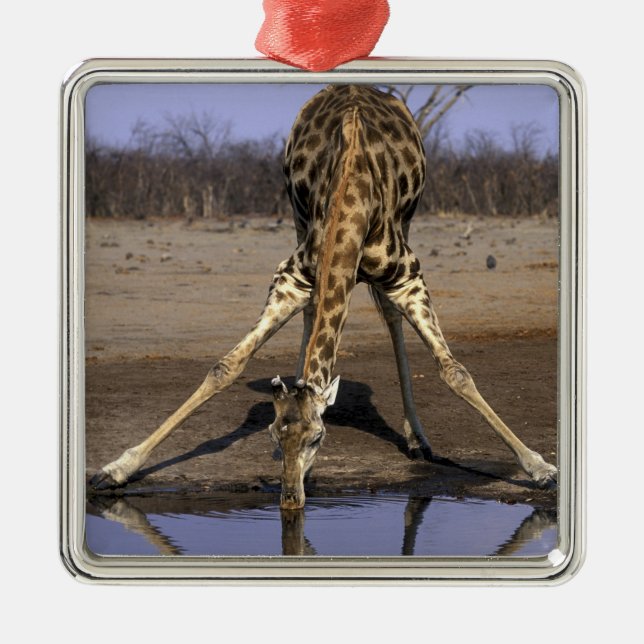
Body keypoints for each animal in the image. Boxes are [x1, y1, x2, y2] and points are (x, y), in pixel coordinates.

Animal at [91, 85, 557, 509]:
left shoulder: (408, 276)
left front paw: (541, 468)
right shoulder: (292, 275)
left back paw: (417, 439)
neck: (353, 187)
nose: (291, 500)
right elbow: (226, 366)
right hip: (296, 216)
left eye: (318, 438)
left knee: (390, 317)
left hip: (407, 224)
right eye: (273, 435)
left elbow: (455, 372)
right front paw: (115, 468)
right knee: (316, 309)